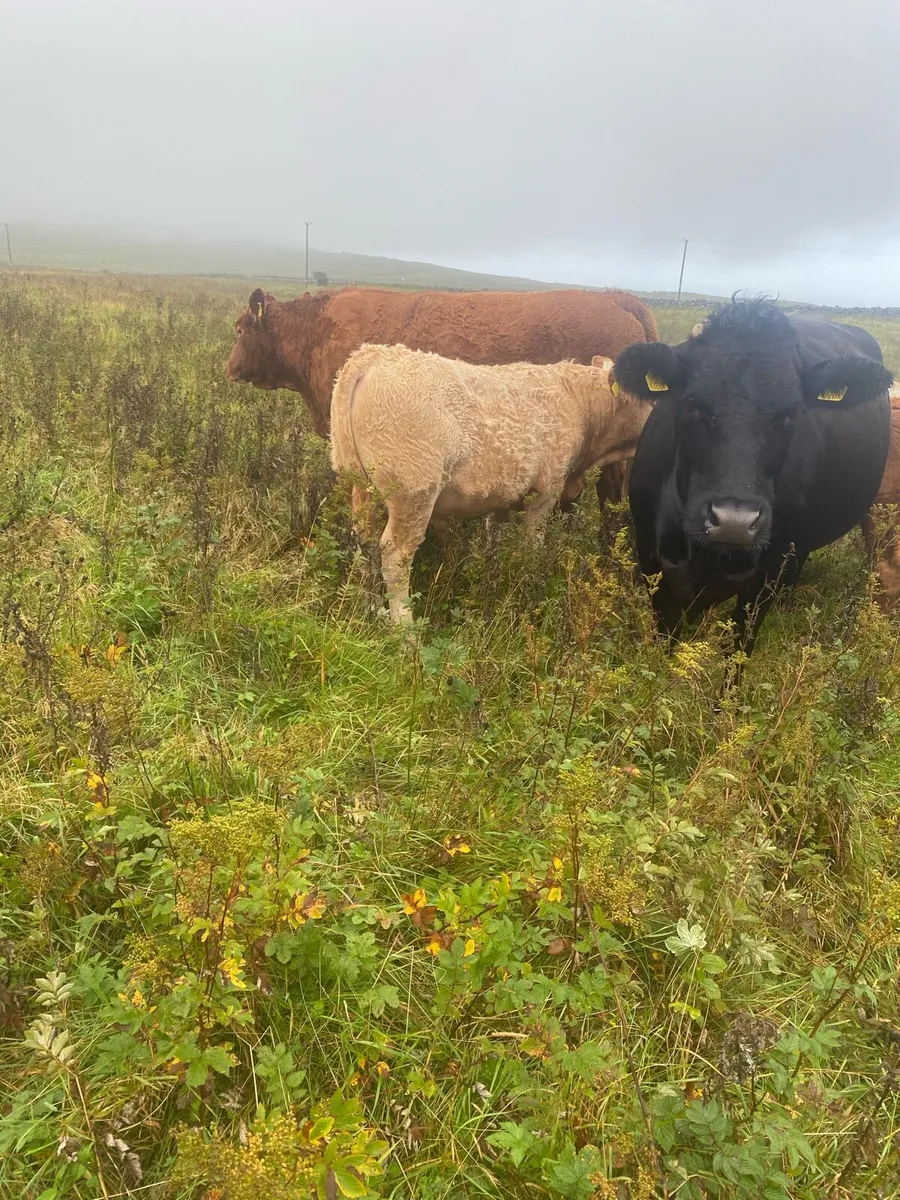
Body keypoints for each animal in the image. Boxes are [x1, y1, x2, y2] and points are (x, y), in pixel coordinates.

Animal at [330, 345, 651, 623]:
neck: (580, 404)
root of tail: (373, 355)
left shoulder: (502, 498)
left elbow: (493, 545)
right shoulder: (545, 493)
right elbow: (532, 549)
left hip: (361, 489)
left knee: (365, 545)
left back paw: (368, 610)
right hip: (413, 494)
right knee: (395, 556)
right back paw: (405, 630)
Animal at [613, 298, 893, 653]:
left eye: (790, 414)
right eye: (693, 404)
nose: (734, 521)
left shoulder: (765, 576)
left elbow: (739, 648)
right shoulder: (651, 559)